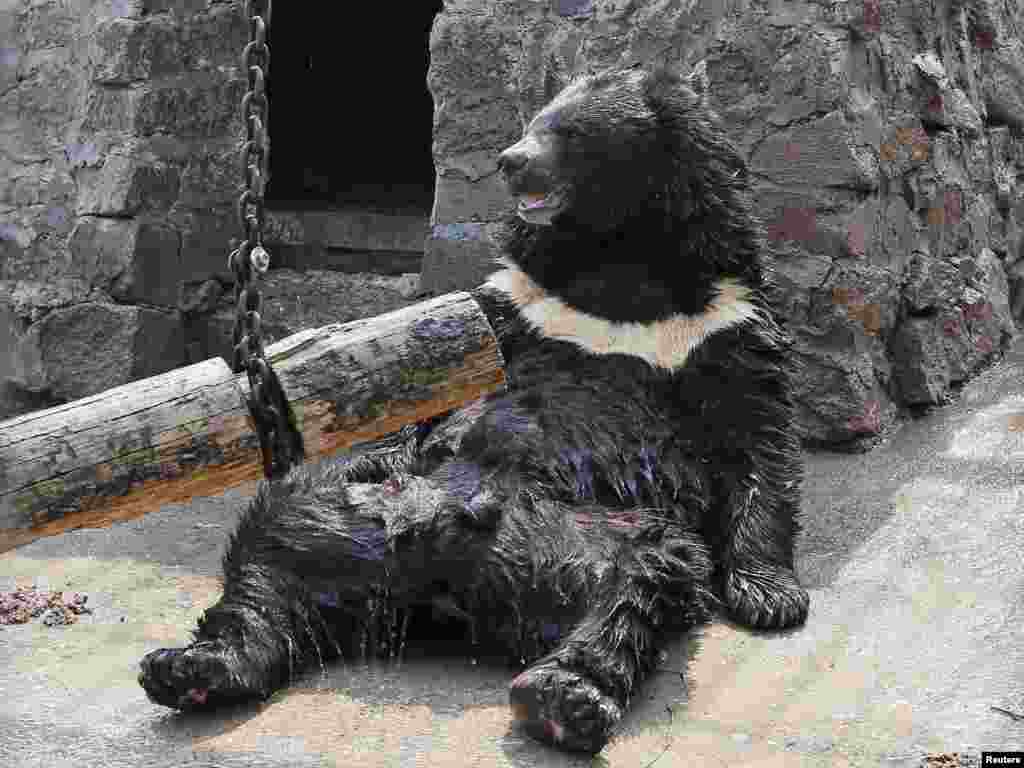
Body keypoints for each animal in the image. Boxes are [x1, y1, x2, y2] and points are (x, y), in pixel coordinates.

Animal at [138, 64, 806, 753]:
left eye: (567, 132)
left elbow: (759, 436)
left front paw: (770, 597)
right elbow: (438, 381)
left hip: (574, 538)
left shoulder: (721, 318)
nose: (510, 161)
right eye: (534, 121)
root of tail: (431, 581)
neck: (618, 253)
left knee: (644, 572)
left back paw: (565, 696)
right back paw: (191, 668)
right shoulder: (517, 302)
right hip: (338, 508)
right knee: (265, 553)